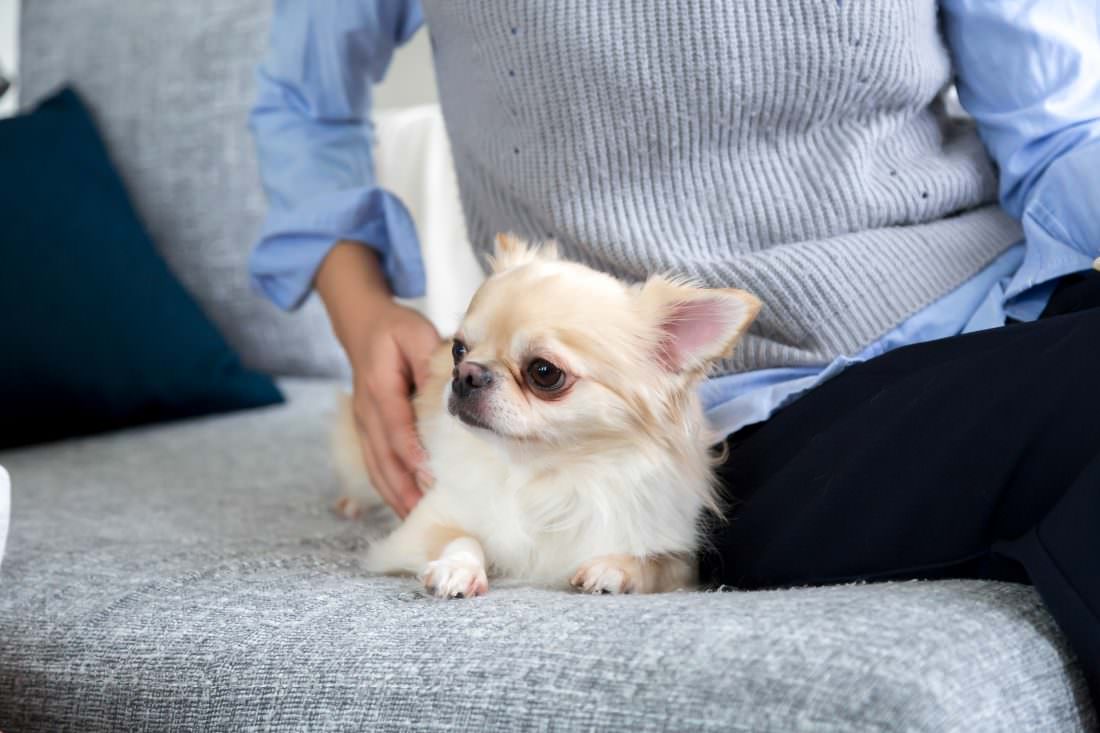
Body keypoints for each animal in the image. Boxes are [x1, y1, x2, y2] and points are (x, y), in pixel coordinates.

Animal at [334, 236, 761, 598]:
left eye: (544, 372)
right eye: (458, 349)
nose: (466, 374)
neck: (545, 473)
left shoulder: (682, 561)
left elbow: (657, 562)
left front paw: (617, 567)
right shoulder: (423, 524)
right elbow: (461, 537)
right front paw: (457, 568)